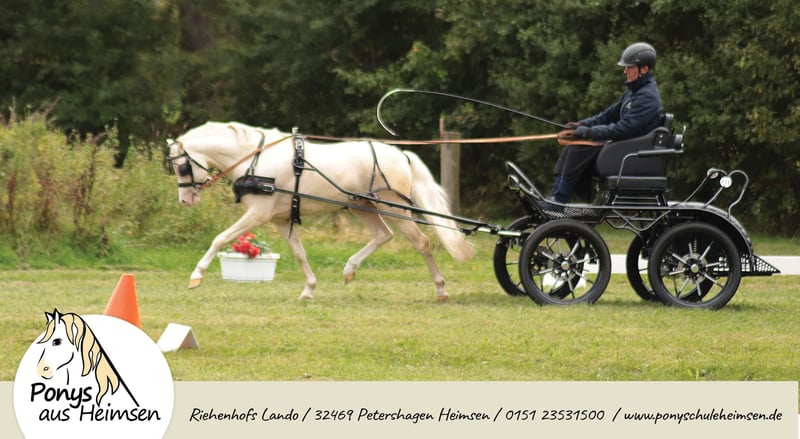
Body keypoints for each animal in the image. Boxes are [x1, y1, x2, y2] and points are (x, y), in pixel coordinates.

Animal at [167, 121, 475, 300]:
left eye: (182, 167)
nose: (185, 200)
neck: (255, 158)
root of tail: (401, 154)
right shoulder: (281, 219)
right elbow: (299, 253)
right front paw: (309, 289)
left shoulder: (258, 214)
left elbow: (220, 238)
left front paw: (196, 276)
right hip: (362, 205)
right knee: (382, 236)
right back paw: (350, 269)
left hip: (389, 205)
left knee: (421, 242)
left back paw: (441, 288)